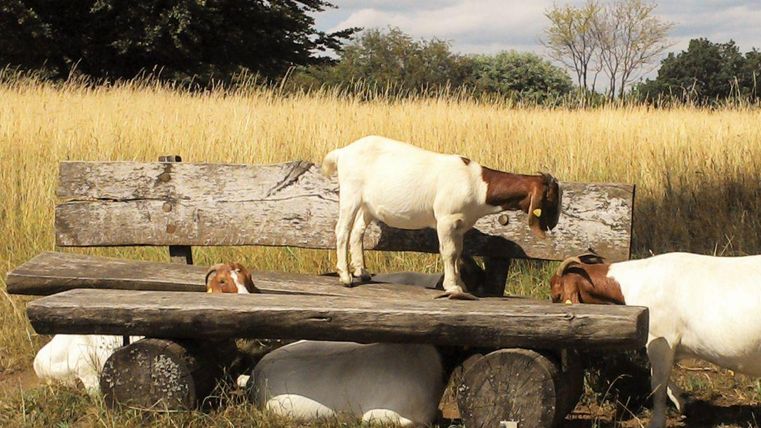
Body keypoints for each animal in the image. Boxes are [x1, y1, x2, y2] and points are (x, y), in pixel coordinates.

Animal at [322, 135, 561, 299]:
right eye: (550, 197)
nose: (553, 224)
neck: (478, 185)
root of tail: (343, 152)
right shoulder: (446, 219)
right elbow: (449, 252)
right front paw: (452, 286)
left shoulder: (460, 224)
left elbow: (458, 252)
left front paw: (460, 284)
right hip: (351, 193)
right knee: (342, 230)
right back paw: (346, 277)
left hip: (367, 205)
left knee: (357, 232)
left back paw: (362, 272)